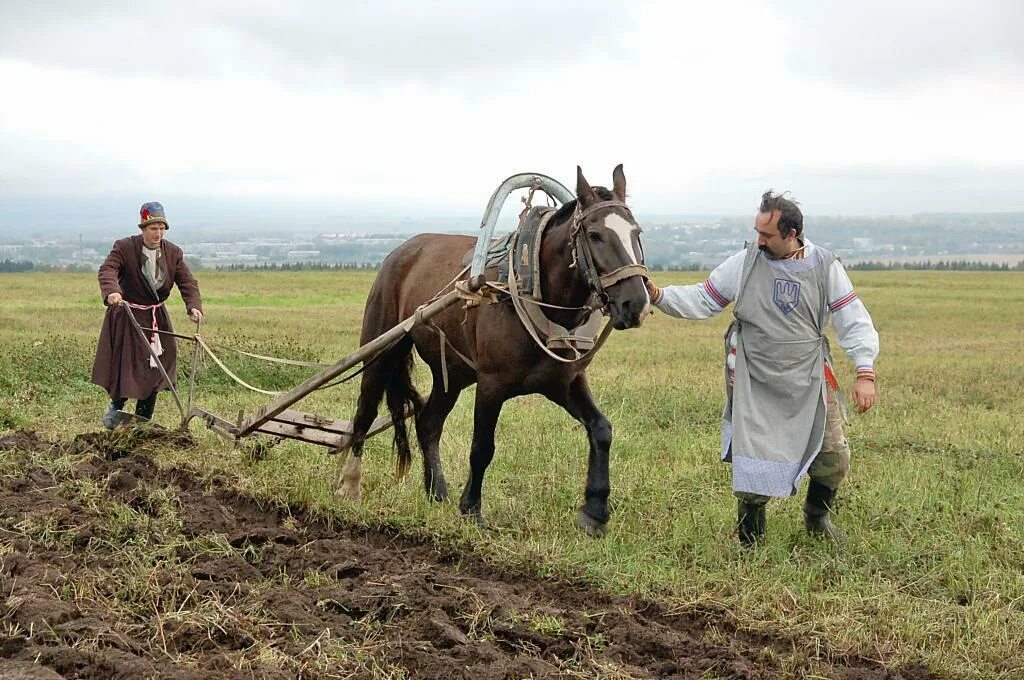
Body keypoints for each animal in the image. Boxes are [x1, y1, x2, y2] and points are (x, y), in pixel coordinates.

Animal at [339, 165, 651, 536]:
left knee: (428, 423)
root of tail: (401, 252)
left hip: (452, 374)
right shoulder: (491, 385)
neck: (533, 290)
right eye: (594, 234)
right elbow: (482, 446)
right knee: (365, 410)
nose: (636, 304)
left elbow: (601, 430)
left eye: (637, 232)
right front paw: (471, 508)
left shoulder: (565, 382)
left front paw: (595, 511)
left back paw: (435, 491)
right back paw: (350, 484)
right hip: (382, 347)